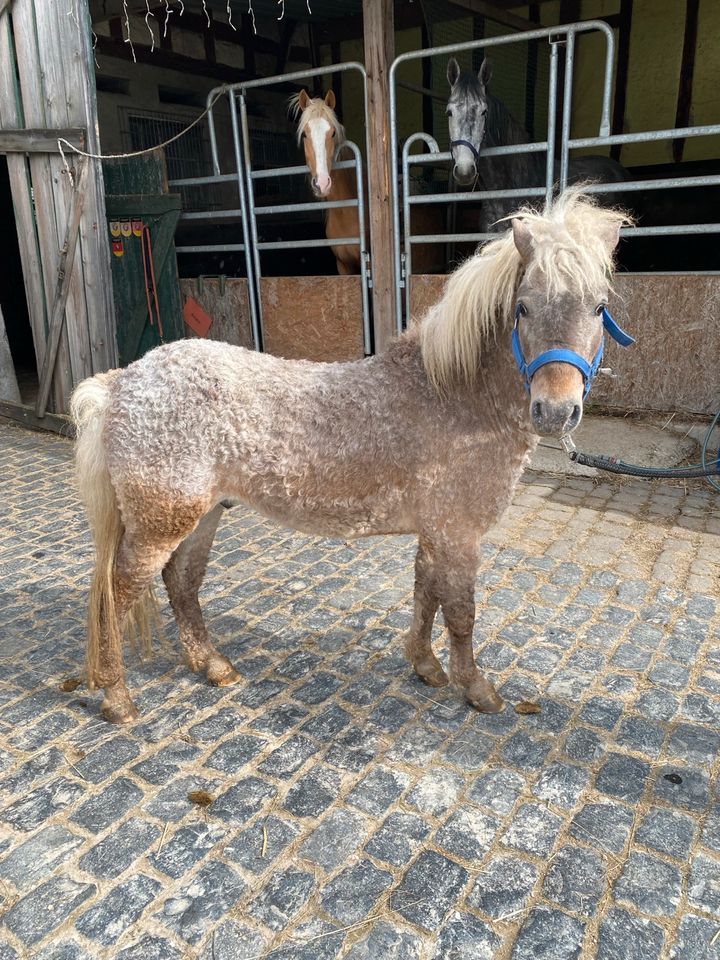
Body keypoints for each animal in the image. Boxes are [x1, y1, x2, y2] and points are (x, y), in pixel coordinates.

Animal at [73, 191, 632, 724]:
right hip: (158, 523)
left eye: (598, 308)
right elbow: (460, 613)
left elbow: (425, 595)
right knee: (116, 594)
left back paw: (212, 666)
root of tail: (122, 382)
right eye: (523, 308)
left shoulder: (435, 532)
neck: (451, 395)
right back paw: (117, 698)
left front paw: (425, 666)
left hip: (202, 515)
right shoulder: (458, 534)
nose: (555, 411)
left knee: (181, 584)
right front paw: (477, 690)